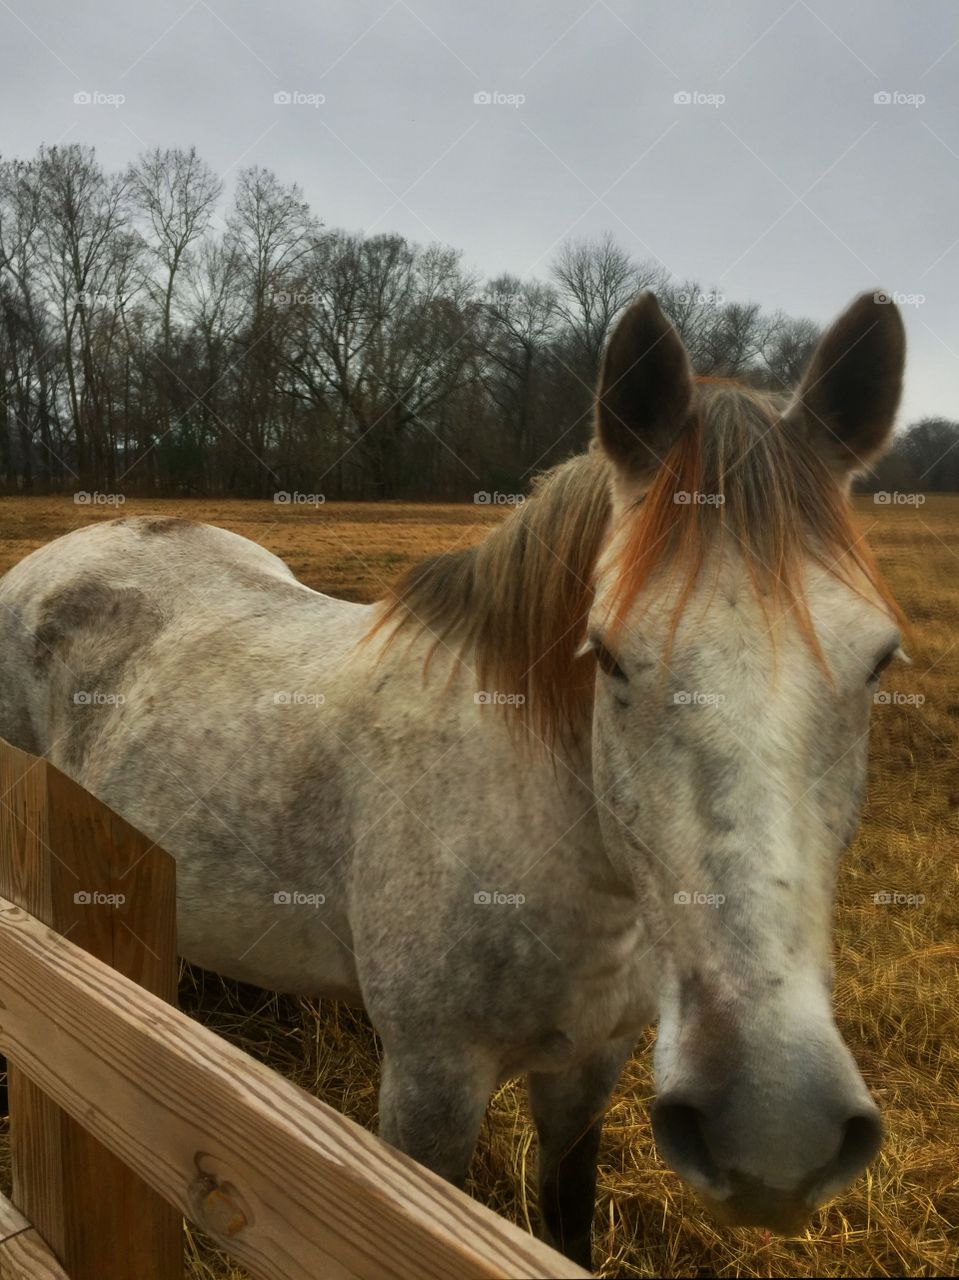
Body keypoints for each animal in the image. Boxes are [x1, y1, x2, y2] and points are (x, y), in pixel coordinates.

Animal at [0, 293, 901, 1269]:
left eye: (880, 660)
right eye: (607, 657)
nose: (773, 1129)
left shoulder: (590, 1066)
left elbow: (566, 1220)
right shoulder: (429, 1089)